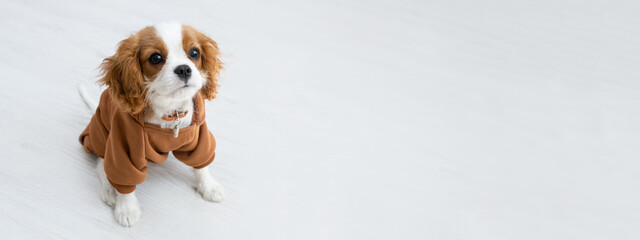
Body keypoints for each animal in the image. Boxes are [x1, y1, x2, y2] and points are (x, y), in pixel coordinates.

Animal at [79, 23, 224, 227]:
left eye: (194, 53)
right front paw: (127, 208)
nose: (184, 69)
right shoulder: (123, 144)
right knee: (102, 163)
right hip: (101, 134)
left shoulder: (199, 135)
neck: (170, 112)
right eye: (156, 58)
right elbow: (123, 178)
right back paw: (109, 190)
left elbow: (201, 164)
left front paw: (209, 186)